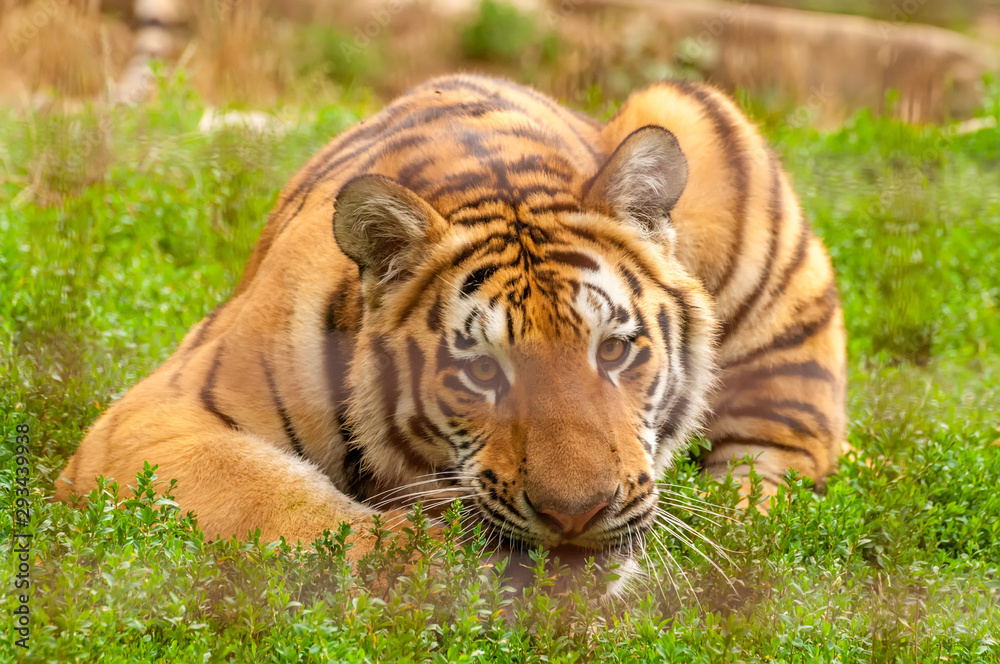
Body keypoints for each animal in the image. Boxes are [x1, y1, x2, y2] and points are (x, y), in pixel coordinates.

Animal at [55, 73, 847, 586]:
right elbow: (284, 503)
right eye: (483, 372)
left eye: (615, 352)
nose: (577, 516)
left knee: (781, 464)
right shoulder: (153, 423)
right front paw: (447, 574)